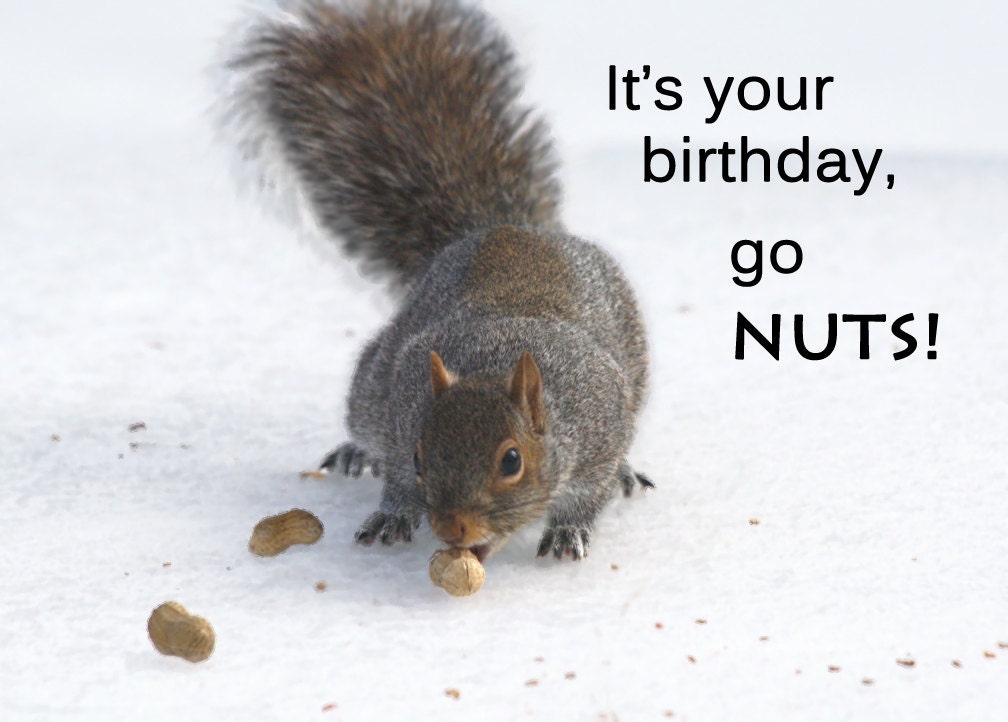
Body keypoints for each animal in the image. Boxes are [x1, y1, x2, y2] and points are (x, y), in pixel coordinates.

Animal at [220, 0, 652, 561]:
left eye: (511, 460)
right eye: (421, 455)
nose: (452, 529)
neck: (495, 366)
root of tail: (503, 226)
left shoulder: (600, 424)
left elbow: (590, 492)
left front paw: (569, 529)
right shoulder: (404, 410)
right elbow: (397, 478)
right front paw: (392, 511)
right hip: (373, 384)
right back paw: (356, 451)